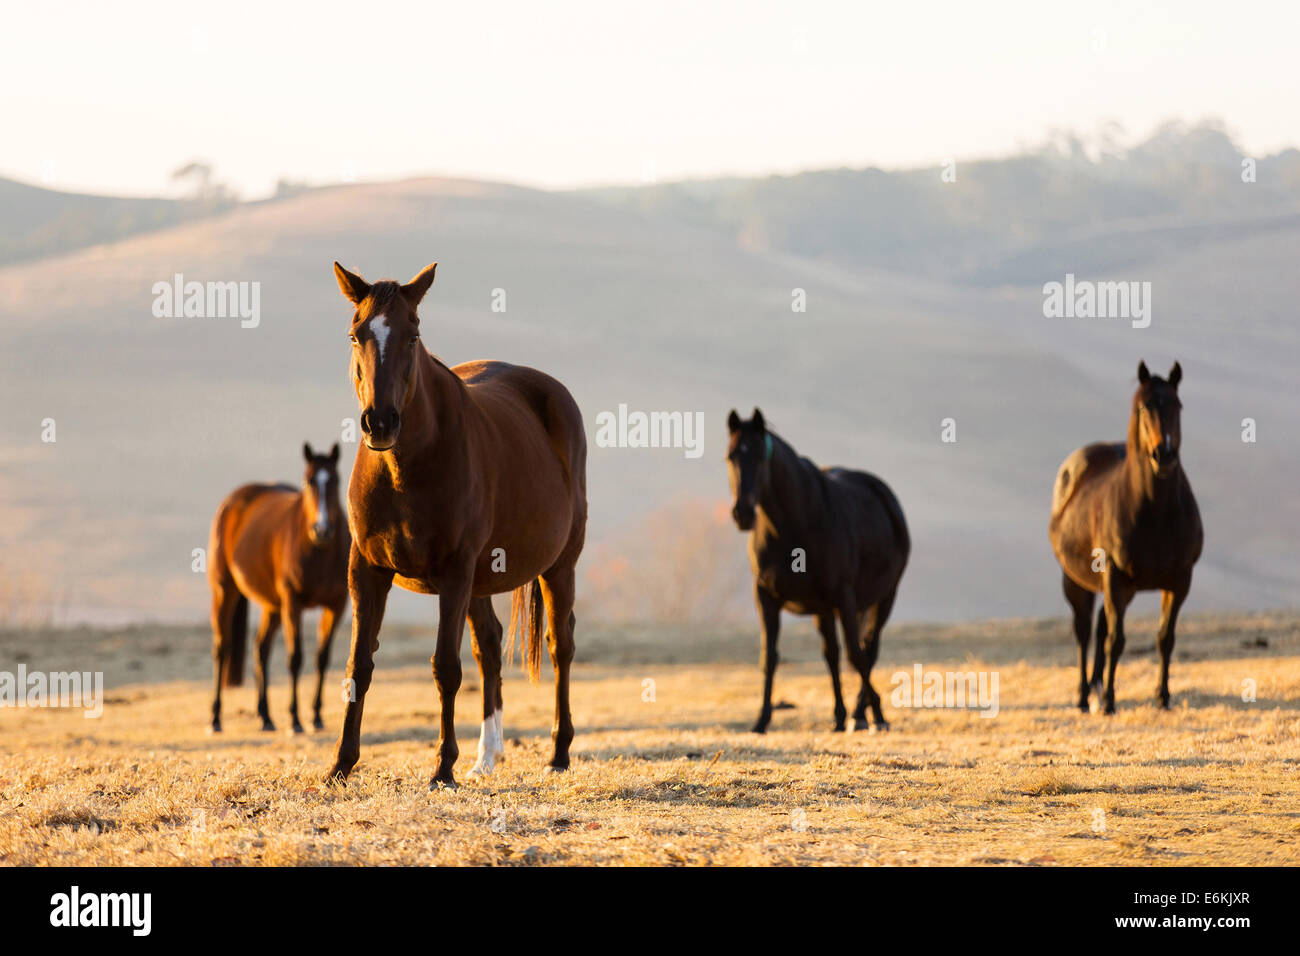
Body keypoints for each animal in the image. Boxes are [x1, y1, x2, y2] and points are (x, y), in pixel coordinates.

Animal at [207, 443, 349, 733]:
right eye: (308, 480)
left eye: (335, 480)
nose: (321, 529)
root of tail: (232, 502)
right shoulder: (292, 603)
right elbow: (295, 658)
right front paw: (295, 720)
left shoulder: (337, 604)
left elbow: (322, 658)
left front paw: (316, 717)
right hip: (224, 591)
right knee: (222, 648)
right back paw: (215, 718)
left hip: (271, 606)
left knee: (261, 649)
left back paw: (266, 717)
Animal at [325, 261, 587, 790]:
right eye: (355, 334)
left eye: (413, 335)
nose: (379, 423)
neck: (405, 467)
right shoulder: (367, 570)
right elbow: (358, 665)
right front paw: (341, 764)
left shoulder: (454, 572)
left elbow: (445, 666)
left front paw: (442, 768)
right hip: (481, 580)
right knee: (490, 646)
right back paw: (487, 755)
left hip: (557, 568)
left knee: (560, 645)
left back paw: (558, 752)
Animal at [726, 409, 910, 733]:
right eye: (731, 456)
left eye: (759, 457)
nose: (742, 514)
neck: (793, 526)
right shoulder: (766, 597)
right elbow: (770, 657)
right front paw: (761, 720)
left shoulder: (844, 598)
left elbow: (856, 656)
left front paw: (878, 712)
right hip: (824, 610)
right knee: (833, 654)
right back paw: (841, 715)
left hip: (884, 597)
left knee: (867, 649)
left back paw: (861, 713)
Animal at [1049, 361, 1203, 714]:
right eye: (1144, 408)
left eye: (1177, 405)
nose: (1164, 455)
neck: (1155, 514)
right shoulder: (1115, 577)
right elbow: (1115, 641)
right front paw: (1108, 701)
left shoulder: (1179, 581)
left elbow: (1165, 638)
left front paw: (1162, 697)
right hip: (1077, 581)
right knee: (1083, 633)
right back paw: (1084, 696)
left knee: (1100, 627)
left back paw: (1095, 687)